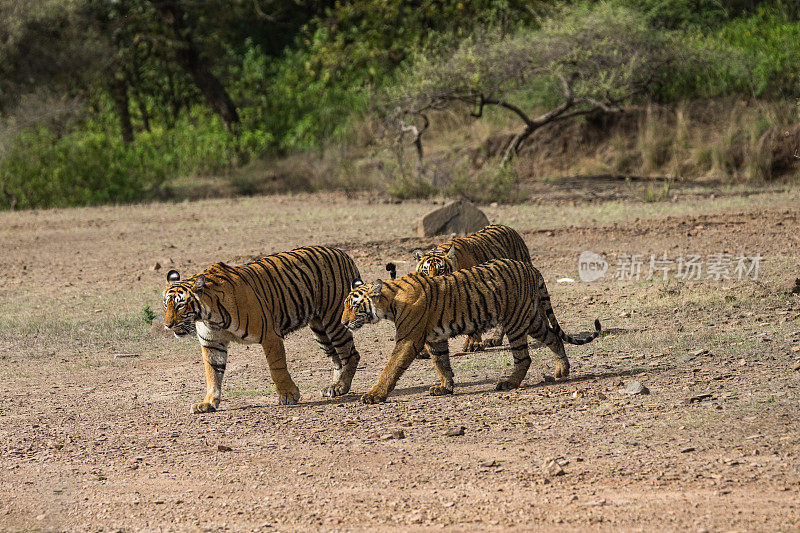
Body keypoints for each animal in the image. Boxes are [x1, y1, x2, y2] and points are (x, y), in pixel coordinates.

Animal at [161, 245, 360, 412]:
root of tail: (343, 253)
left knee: (351, 354)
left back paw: (341, 386)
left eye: (180, 305)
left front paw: (288, 395)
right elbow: (212, 374)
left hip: (334, 320)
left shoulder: (269, 335)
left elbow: (277, 368)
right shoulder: (212, 344)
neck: (210, 317)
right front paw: (208, 402)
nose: (167, 325)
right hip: (320, 329)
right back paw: (333, 387)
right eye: (165, 304)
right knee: (337, 359)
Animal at [342, 258, 600, 404]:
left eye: (354, 306)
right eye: (345, 305)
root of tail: (531, 267)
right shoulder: (435, 339)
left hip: (516, 322)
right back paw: (562, 370)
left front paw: (375, 395)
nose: (343, 323)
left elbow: (391, 367)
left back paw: (509, 383)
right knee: (554, 336)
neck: (389, 303)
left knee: (524, 357)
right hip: (531, 319)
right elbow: (442, 363)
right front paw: (445, 387)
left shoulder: (408, 339)